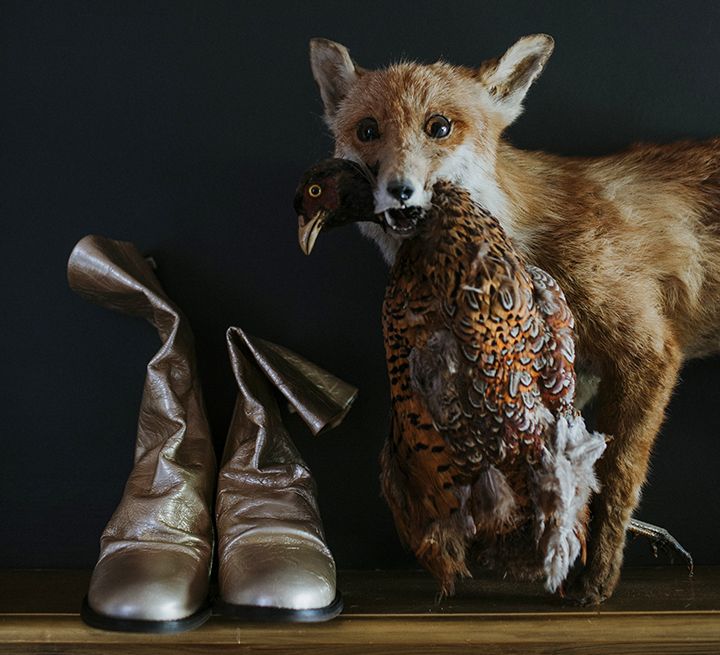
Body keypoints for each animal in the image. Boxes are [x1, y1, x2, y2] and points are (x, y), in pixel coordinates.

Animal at [310, 32, 720, 604]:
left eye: (439, 126)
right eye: (368, 130)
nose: (399, 189)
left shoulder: (648, 353)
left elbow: (618, 476)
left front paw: (599, 579)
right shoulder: (568, 369)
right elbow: (561, 458)